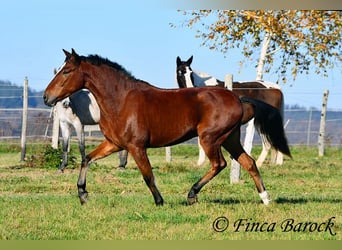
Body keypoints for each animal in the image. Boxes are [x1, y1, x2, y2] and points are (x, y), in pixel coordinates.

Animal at [43, 49, 292, 207]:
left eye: (66, 71)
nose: (47, 97)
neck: (120, 100)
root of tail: (238, 99)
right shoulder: (114, 144)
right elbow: (87, 159)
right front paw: (83, 194)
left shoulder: (136, 146)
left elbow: (148, 175)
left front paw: (159, 201)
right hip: (230, 139)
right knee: (249, 163)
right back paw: (265, 199)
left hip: (210, 139)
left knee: (219, 164)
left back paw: (192, 194)